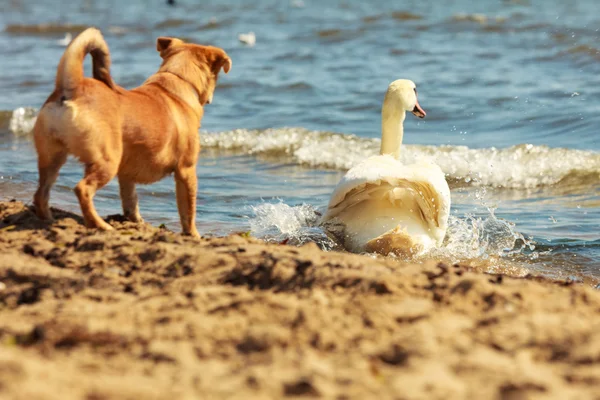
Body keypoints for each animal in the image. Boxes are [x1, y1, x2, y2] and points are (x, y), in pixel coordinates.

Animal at [32, 27, 232, 238]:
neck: (177, 80)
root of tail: (73, 87)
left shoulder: (126, 174)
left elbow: (130, 201)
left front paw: (136, 221)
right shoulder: (186, 170)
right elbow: (188, 211)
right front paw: (193, 235)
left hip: (52, 158)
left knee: (41, 193)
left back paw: (48, 220)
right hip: (107, 161)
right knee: (82, 189)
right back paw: (100, 225)